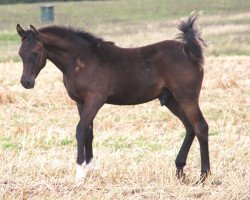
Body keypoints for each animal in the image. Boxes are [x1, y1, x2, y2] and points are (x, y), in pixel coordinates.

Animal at [16, 13, 210, 184]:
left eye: (35, 52)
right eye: (20, 53)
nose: (26, 82)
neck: (80, 59)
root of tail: (188, 50)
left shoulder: (95, 100)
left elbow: (80, 130)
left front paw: (79, 175)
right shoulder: (81, 102)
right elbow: (88, 132)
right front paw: (88, 170)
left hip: (187, 98)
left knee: (200, 127)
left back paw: (203, 176)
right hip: (172, 100)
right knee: (189, 127)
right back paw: (180, 170)